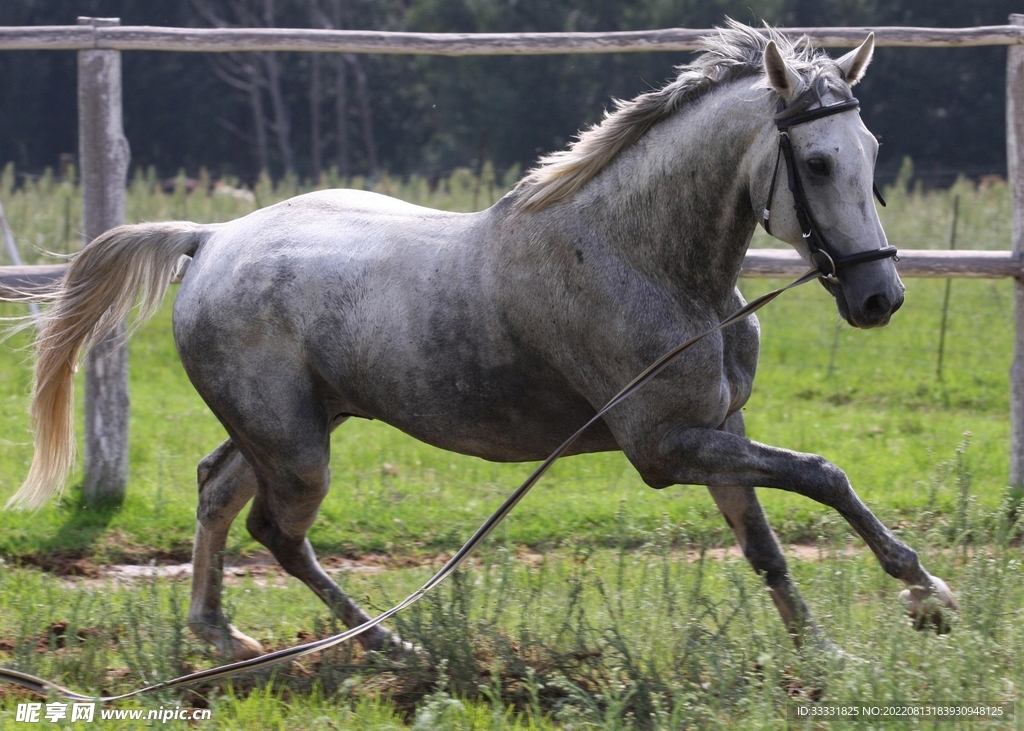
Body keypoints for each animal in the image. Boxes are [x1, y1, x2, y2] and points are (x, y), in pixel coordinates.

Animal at [6, 21, 955, 661]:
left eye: (871, 148)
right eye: (819, 162)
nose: (880, 297)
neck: (647, 260)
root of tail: (209, 240)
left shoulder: (718, 430)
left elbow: (765, 547)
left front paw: (825, 655)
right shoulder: (665, 446)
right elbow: (823, 473)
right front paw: (929, 595)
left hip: (294, 426)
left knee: (214, 488)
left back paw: (222, 636)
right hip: (299, 448)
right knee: (275, 530)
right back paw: (390, 648)